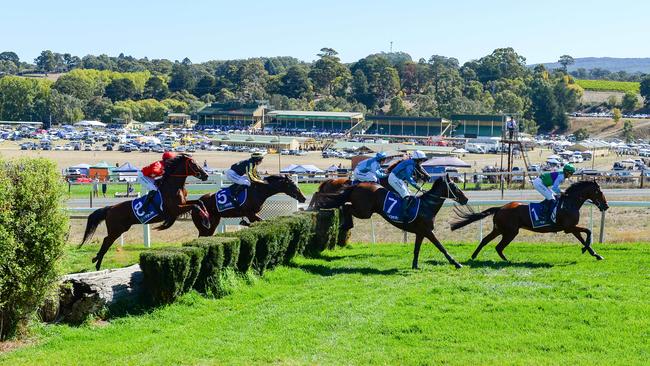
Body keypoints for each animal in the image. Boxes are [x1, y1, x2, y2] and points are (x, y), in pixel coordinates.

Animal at [79, 153, 209, 270]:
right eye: (193, 164)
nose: (206, 175)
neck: (173, 186)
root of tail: (110, 208)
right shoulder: (175, 209)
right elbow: (195, 206)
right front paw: (206, 222)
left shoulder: (182, 204)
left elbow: (199, 202)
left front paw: (206, 219)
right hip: (116, 229)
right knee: (106, 240)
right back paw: (97, 260)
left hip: (120, 229)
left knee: (107, 241)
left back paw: (97, 261)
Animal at [308, 174, 466, 268]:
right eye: (455, 186)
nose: (465, 199)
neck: (426, 206)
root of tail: (357, 184)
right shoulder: (427, 231)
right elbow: (441, 246)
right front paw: (456, 263)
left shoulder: (420, 232)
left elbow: (417, 249)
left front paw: (415, 265)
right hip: (365, 211)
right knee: (345, 207)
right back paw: (346, 224)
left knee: (344, 205)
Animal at [450, 179, 608, 260]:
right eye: (599, 192)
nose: (605, 206)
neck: (570, 203)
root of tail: (500, 207)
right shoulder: (568, 228)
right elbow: (588, 232)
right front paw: (587, 249)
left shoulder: (571, 228)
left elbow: (583, 237)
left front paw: (594, 253)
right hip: (510, 232)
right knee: (498, 246)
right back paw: (506, 261)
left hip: (499, 229)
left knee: (485, 241)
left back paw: (474, 256)